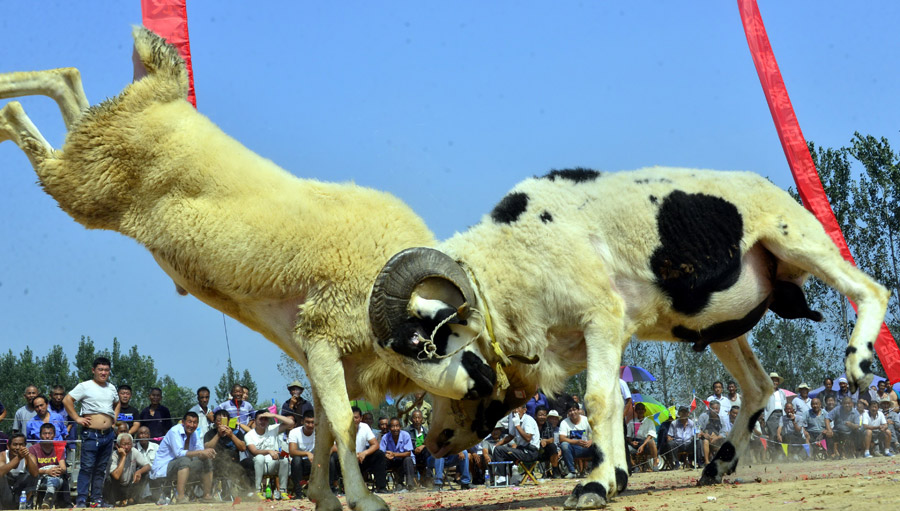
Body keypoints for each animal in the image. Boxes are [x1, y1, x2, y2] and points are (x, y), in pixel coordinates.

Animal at [369, 167, 890, 509]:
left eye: (430, 343)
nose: (433, 443)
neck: (516, 260)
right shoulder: (606, 333)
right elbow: (617, 404)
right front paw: (616, 477)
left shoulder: (600, 318)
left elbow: (598, 401)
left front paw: (593, 487)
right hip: (722, 325)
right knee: (758, 386)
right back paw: (718, 465)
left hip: (798, 240)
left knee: (870, 289)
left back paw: (859, 362)